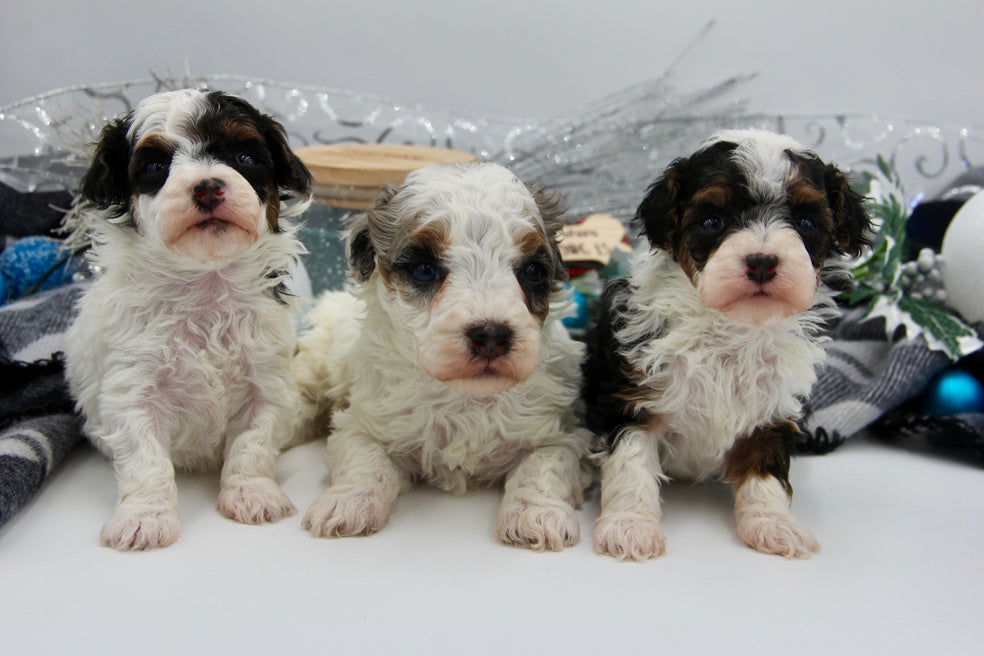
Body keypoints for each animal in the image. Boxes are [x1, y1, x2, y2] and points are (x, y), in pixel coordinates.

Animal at [64, 87, 312, 548]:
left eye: (245, 157)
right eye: (155, 167)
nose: (208, 186)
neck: (204, 285)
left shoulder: (266, 383)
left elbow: (252, 444)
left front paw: (253, 494)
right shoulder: (132, 390)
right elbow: (146, 461)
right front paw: (144, 517)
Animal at [288, 161, 588, 552]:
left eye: (533, 271)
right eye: (424, 269)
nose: (491, 335)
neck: (464, 397)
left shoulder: (565, 431)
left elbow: (541, 468)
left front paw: (536, 513)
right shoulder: (362, 424)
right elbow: (364, 461)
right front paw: (348, 502)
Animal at [584, 128, 868, 560]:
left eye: (805, 221)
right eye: (712, 221)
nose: (763, 261)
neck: (730, 329)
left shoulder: (773, 408)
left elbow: (766, 472)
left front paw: (773, 524)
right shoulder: (631, 394)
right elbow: (631, 464)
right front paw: (630, 527)